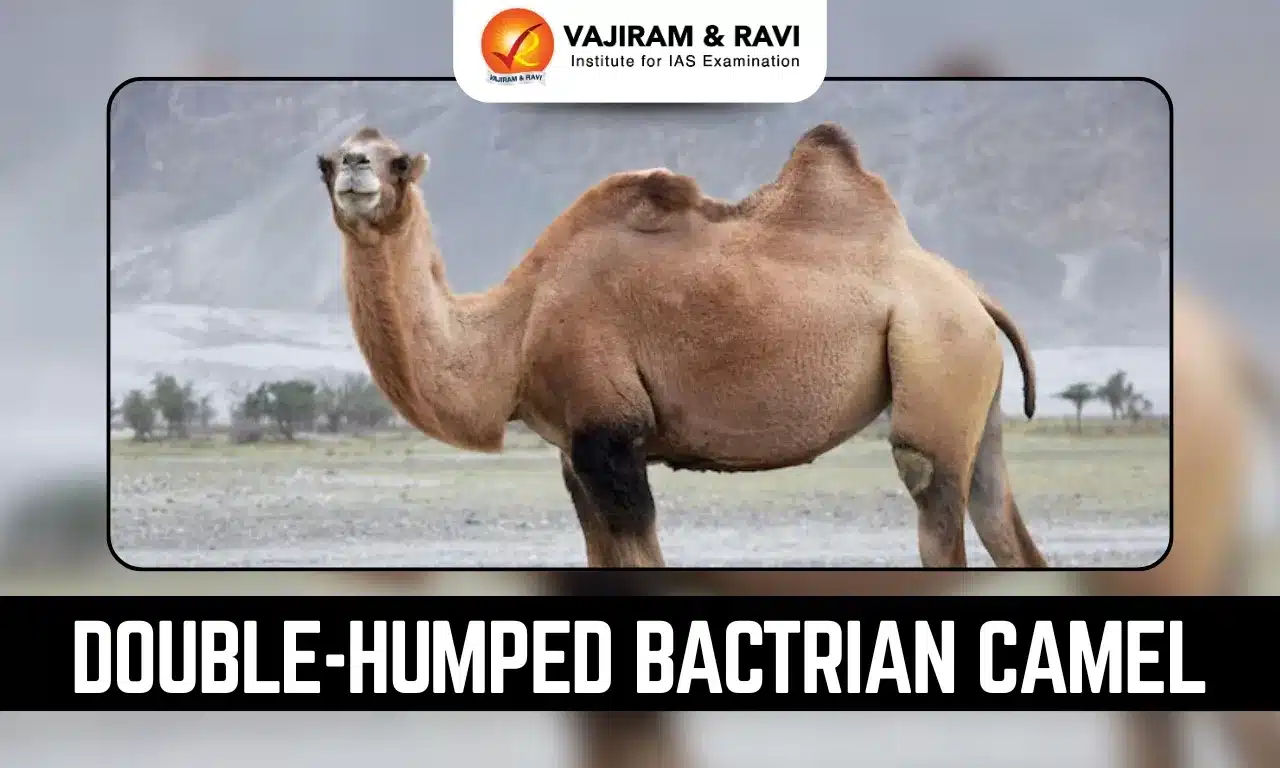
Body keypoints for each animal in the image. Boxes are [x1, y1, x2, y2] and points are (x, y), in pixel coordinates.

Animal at [318, 122, 1046, 569]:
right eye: (327, 161)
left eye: (399, 163)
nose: (354, 168)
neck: (515, 328)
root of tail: (970, 291)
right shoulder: (574, 453)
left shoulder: (612, 436)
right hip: (971, 385)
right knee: (998, 515)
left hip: (937, 350)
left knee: (931, 493)